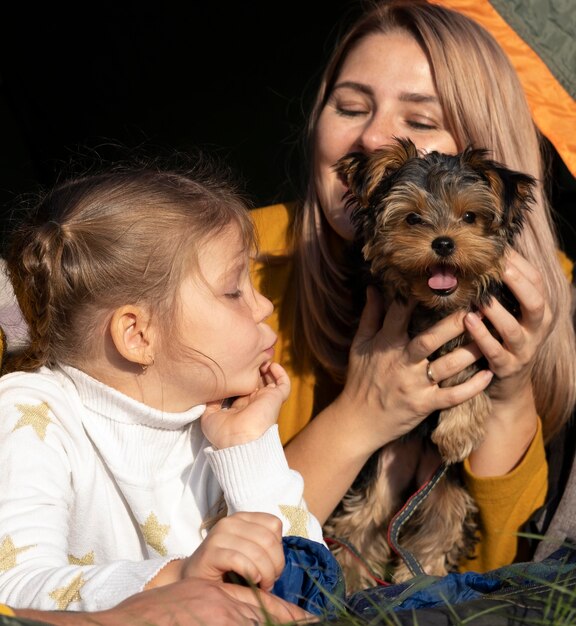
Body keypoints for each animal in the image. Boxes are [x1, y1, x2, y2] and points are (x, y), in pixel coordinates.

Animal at [324, 136, 536, 588]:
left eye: (470, 217)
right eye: (412, 218)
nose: (443, 242)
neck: (439, 304)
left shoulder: (489, 323)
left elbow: (470, 367)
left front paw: (456, 433)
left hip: (448, 488)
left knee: (441, 526)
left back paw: (422, 582)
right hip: (380, 471)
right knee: (359, 523)